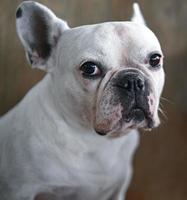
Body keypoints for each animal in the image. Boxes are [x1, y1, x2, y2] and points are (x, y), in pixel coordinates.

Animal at [0, 1, 164, 200]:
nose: (132, 80)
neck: (93, 140)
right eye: (90, 68)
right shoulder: (19, 192)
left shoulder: (117, 190)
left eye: (155, 59)